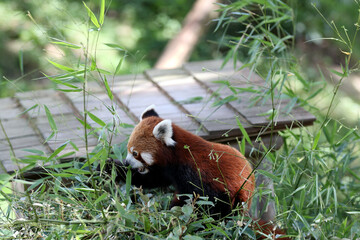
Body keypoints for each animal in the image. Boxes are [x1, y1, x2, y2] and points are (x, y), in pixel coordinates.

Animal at [124, 104, 256, 216]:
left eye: (135, 153)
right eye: (128, 149)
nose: (126, 162)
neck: (177, 155)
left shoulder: (197, 174)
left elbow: (200, 198)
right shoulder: (166, 170)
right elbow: (153, 179)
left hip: (236, 194)